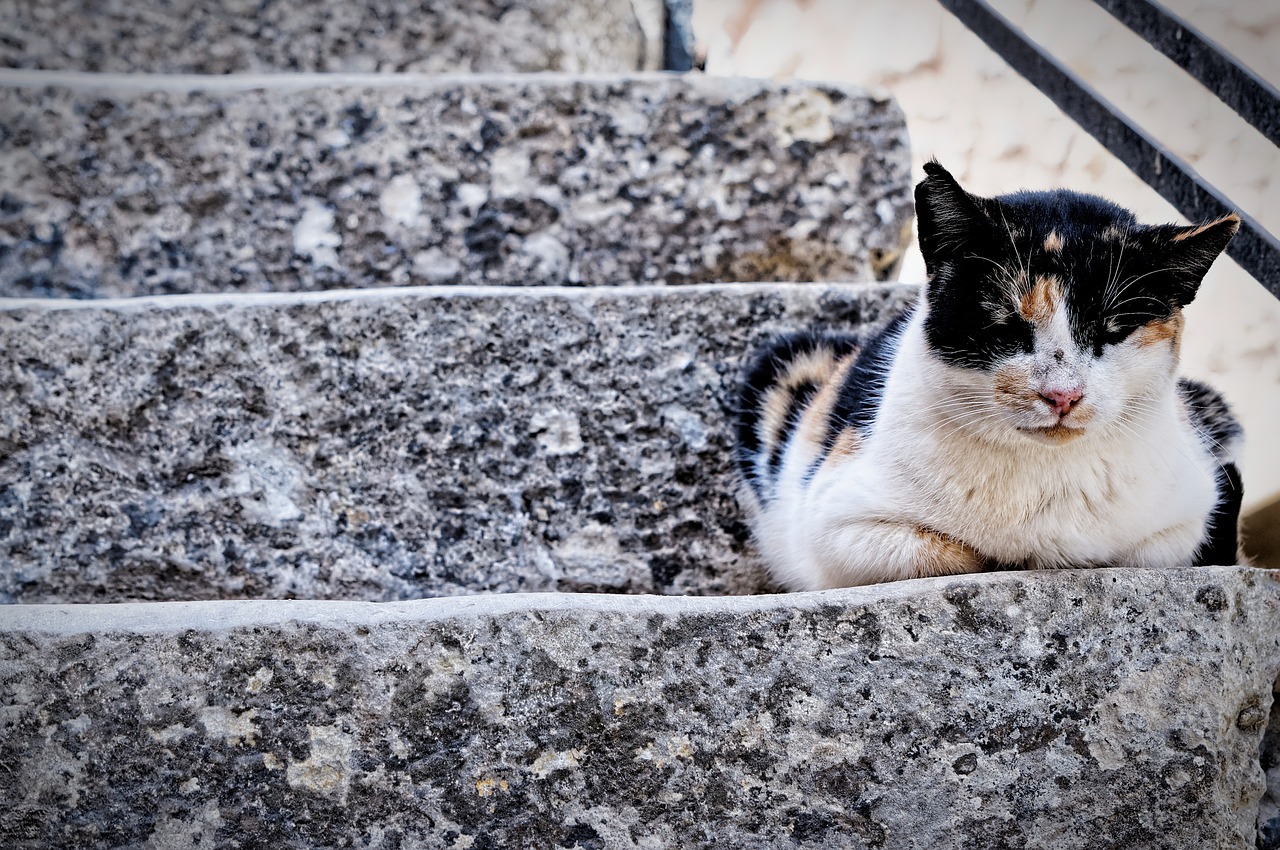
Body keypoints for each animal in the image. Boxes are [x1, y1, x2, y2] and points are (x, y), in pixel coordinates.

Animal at [737, 161, 1244, 591]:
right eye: (1007, 328)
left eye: (1113, 330)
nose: (1063, 395)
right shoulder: (835, 520)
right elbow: (949, 554)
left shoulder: (1188, 515)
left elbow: (1149, 549)